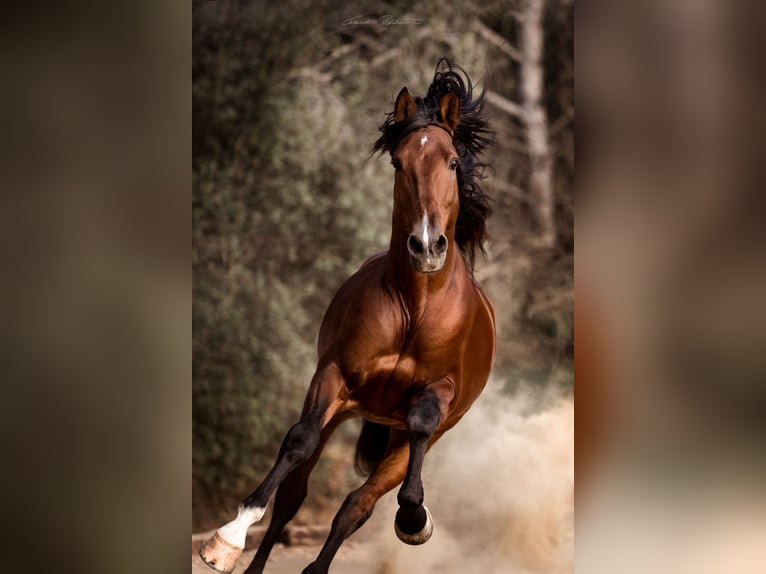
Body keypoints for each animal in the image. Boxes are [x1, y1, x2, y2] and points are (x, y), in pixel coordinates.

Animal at [200, 59, 498, 574]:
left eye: (452, 163)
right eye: (399, 162)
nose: (426, 246)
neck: (415, 306)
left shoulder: (439, 391)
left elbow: (416, 435)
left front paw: (415, 517)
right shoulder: (334, 375)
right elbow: (297, 441)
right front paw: (227, 537)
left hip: (413, 433)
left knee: (358, 504)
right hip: (343, 410)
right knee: (295, 494)